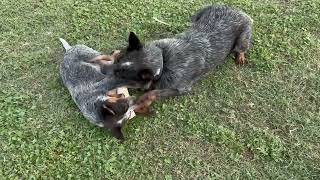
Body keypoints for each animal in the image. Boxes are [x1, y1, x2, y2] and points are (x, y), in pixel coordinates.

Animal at [112, 4, 252, 110]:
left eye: (122, 76)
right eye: (118, 61)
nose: (109, 72)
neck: (163, 60)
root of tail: (236, 10)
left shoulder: (181, 88)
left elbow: (154, 92)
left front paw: (143, 100)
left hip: (243, 38)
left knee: (241, 48)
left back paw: (240, 56)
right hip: (199, 13)